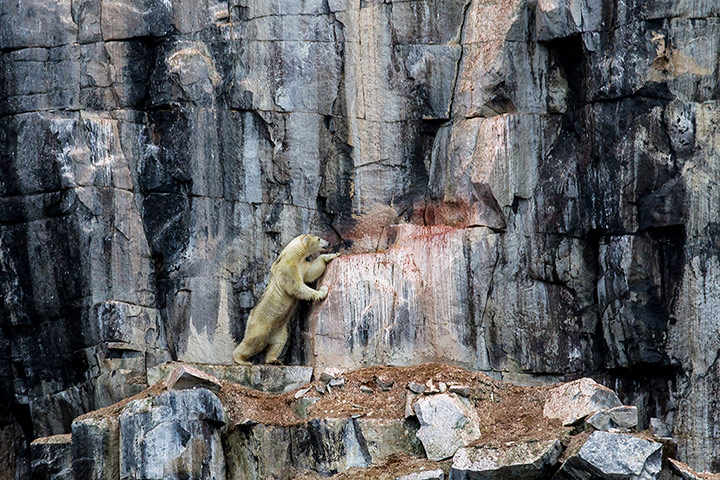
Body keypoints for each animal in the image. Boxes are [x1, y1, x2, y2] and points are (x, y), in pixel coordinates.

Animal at [232, 234, 340, 365]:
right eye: (319, 238)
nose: (328, 243)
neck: (293, 254)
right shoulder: (287, 269)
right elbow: (297, 287)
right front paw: (322, 291)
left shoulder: (301, 266)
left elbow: (312, 271)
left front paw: (332, 255)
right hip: (261, 323)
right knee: (254, 340)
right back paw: (241, 359)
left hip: (279, 329)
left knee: (278, 343)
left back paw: (273, 360)